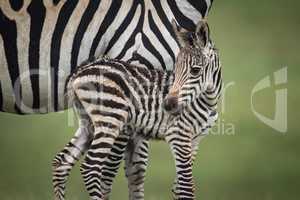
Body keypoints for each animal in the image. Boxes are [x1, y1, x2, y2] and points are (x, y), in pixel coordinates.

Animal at [54, 19, 221, 199]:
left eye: (195, 70)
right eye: (175, 70)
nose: (168, 105)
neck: (208, 101)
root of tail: (79, 72)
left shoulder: (195, 140)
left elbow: (178, 187)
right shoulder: (178, 135)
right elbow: (186, 187)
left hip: (88, 123)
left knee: (61, 162)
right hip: (110, 119)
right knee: (90, 168)